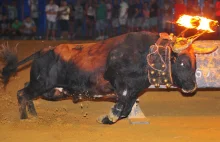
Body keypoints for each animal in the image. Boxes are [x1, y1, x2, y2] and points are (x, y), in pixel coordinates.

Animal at [0, 31, 213, 124]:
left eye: (195, 63)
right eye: (183, 63)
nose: (192, 86)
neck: (146, 54)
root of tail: (43, 51)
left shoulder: (132, 91)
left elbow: (126, 109)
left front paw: (108, 118)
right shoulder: (122, 88)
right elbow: (121, 107)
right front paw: (106, 118)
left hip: (50, 90)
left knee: (26, 92)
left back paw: (33, 115)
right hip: (41, 84)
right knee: (22, 93)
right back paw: (25, 118)